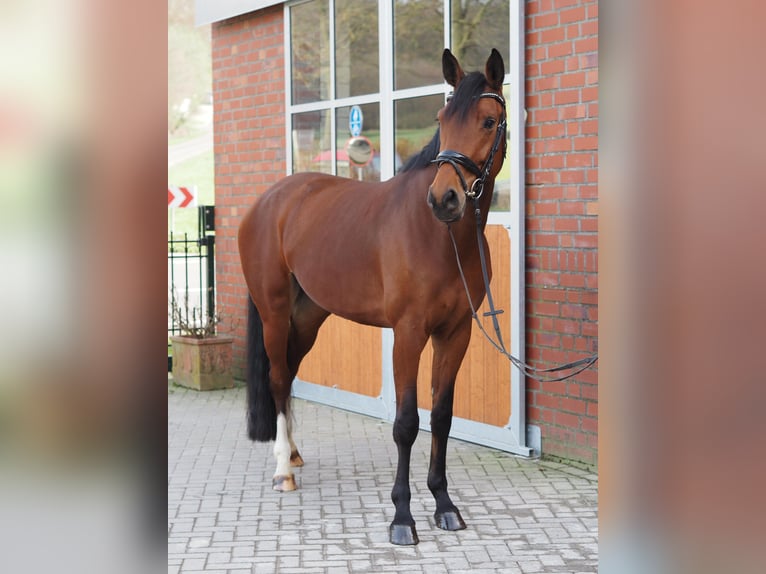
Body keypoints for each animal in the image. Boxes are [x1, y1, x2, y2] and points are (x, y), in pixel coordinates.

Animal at [238, 48, 507, 546]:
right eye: (442, 118)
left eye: (489, 120)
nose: (445, 199)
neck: (439, 237)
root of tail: (268, 200)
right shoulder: (408, 334)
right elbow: (406, 423)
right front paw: (402, 517)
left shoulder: (455, 333)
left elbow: (442, 415)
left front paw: (444, 505)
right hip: (274, 312)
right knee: (279, 379)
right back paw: (284, 470)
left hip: (308, 317)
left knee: (290, 375)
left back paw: (295, 454)